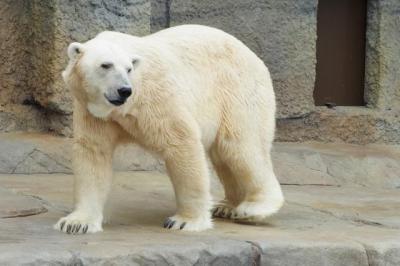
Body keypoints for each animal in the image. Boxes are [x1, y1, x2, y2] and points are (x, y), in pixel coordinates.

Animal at [54, 24, 284, 233]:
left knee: (240, 147)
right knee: (224, 156)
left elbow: (181, 140)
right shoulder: (92, 111)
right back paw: (227, 206)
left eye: (128, 69)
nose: (124, 90)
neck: (124, 107)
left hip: (237, 92)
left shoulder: (156, 98)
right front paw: (76, 223)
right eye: (105, 65)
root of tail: (254, 57)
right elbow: (93, 152)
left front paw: (185, 221)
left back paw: (253, 207)